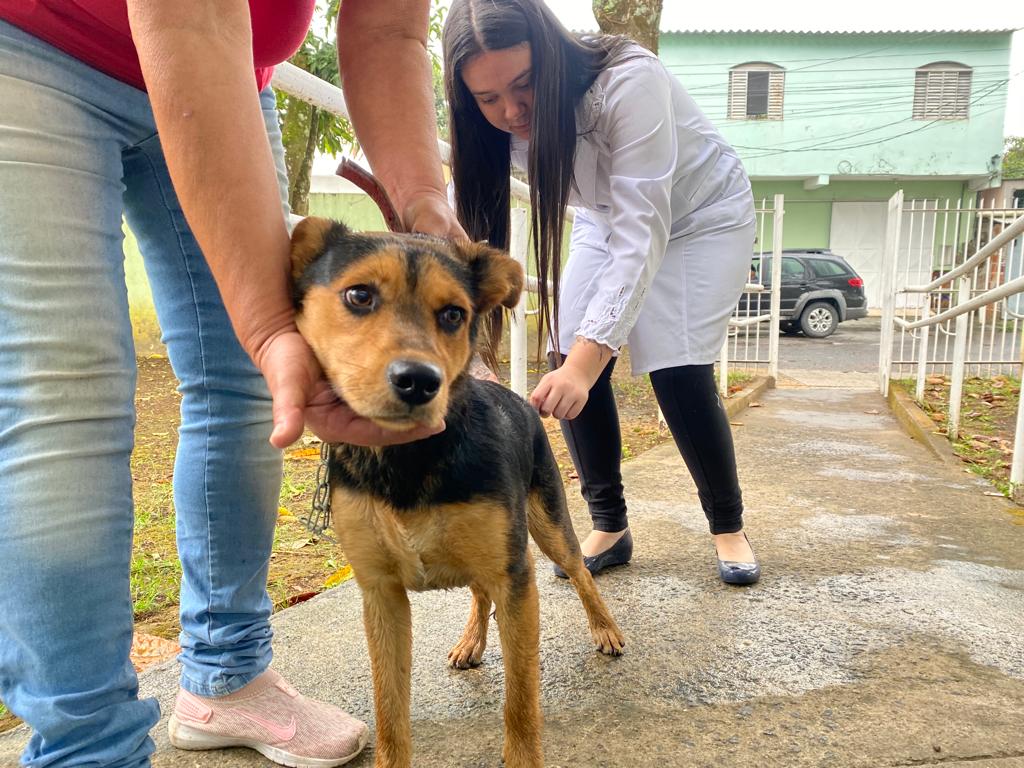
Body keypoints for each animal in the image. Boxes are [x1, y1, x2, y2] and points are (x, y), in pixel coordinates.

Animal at [288, 217, 622, 768]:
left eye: (453, 314)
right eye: (359, 295)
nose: (419, 381)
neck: (408, 458)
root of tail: (517, 397)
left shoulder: (515, 576)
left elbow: (521, 699)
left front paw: (523, 757)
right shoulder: (381, 594)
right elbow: (389, 707)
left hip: (547, 523)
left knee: (579, 573)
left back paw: (606, 629)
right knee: (478, 592)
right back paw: (471, 641)